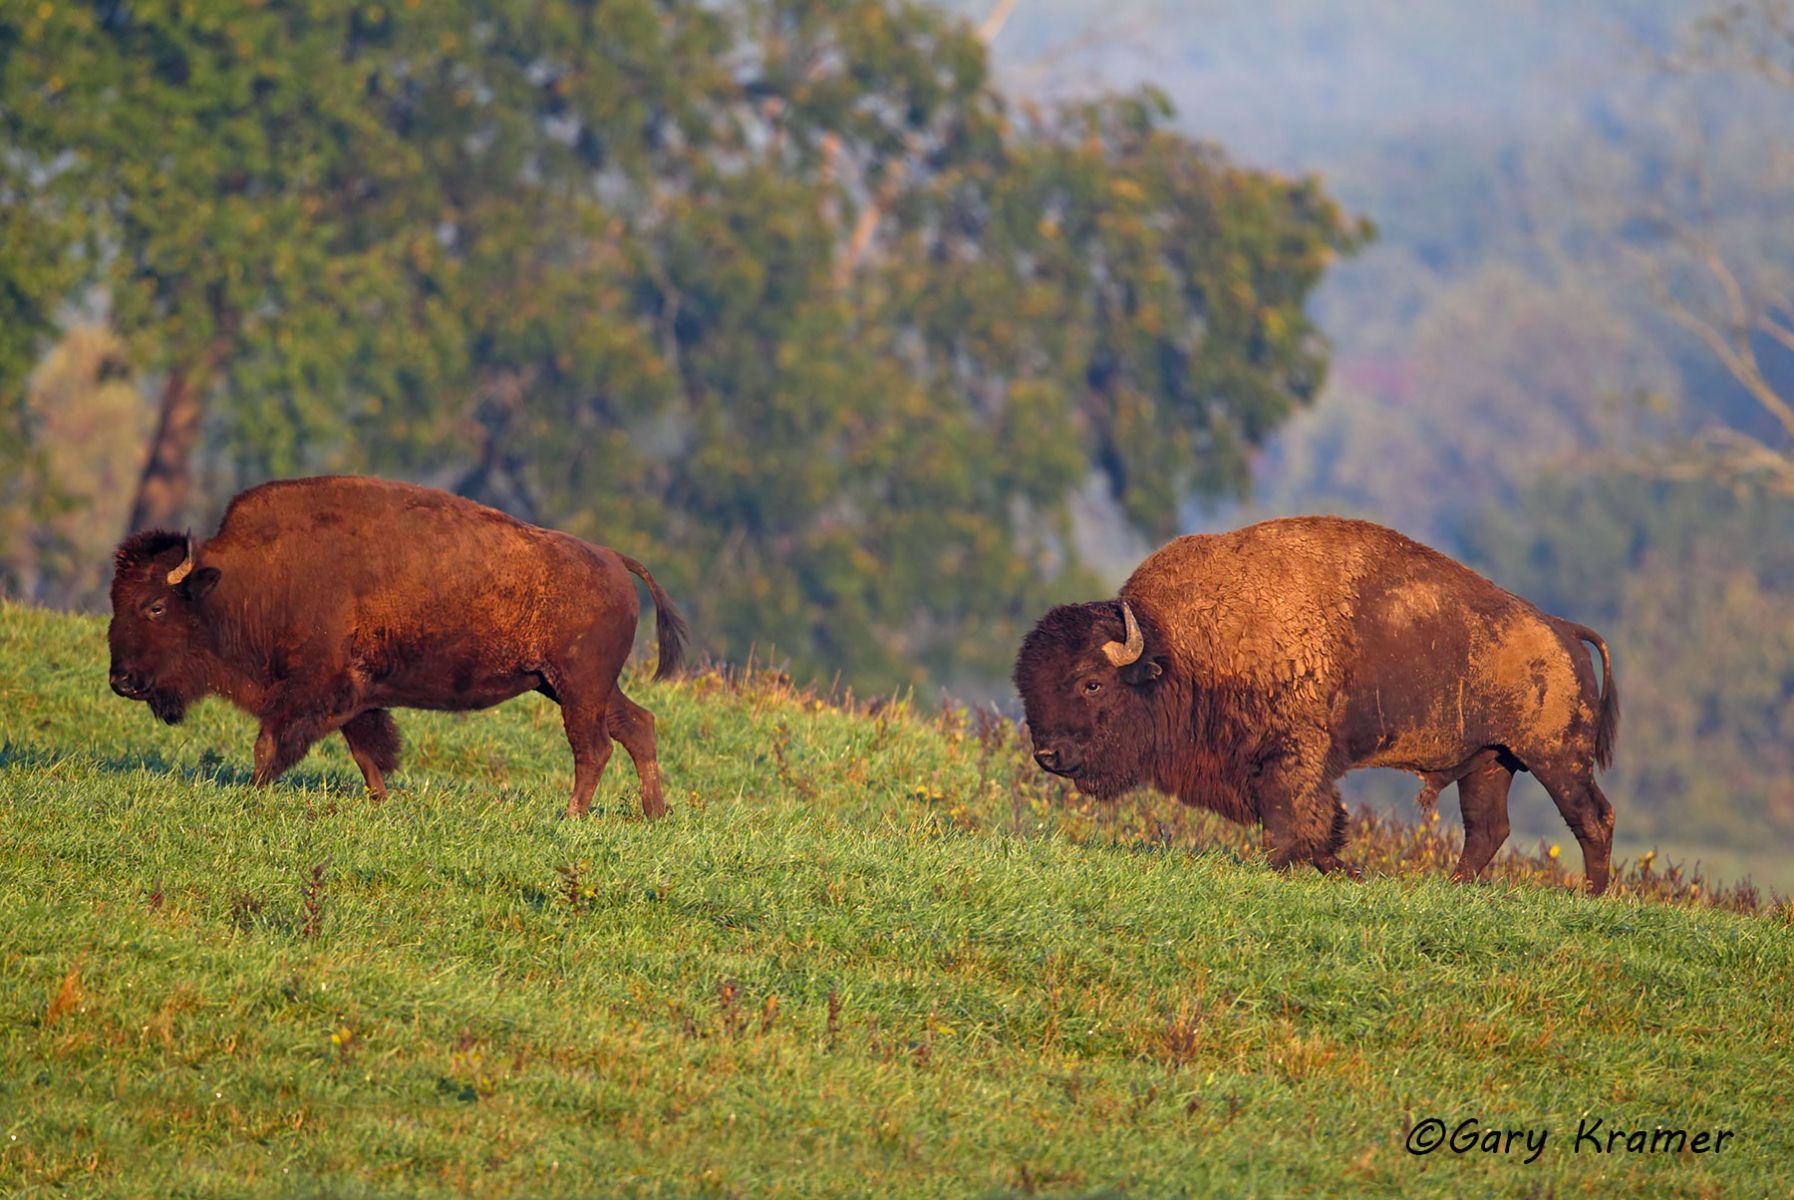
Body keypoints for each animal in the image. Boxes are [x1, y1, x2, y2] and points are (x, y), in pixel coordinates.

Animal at [108, 476, 687, 817]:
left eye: (155, 606)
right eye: (115, 600)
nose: (121, 680)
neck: (244, 579)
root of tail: (614, 559)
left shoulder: (313, 686)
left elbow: (271, 742)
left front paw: (251, 792)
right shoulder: (353, 694)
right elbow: (366, 748)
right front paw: (381, 801)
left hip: (578, 689)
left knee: (595, 747)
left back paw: (571, 816)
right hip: (570, 687)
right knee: (638, 726)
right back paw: (654, 814)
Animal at [1014, 516, 1619, 893]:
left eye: (1092, 683)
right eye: (1027, 685)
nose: (1048, 754)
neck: (1179, 646)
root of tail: (1562, 630)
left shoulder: (1292, 757)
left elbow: (1292, 823)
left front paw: (1284, 870)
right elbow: (1319, 826)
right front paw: (1348, 872)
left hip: (1554, 757)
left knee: (1591, 817)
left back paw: (1589, 896)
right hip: (1490, 762)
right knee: (1487, 828)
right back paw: (1453, 887)